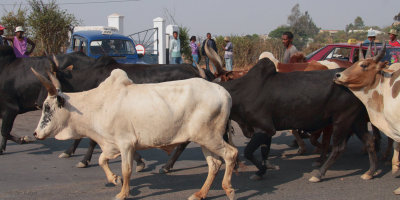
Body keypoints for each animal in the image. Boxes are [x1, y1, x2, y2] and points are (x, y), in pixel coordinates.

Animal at [32, 68, 238, 199]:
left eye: (47, 107)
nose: (35, 133)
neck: (97, 105)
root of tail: (223, 92)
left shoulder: (126, 144)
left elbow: (127, 169)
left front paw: (123, 193)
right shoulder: (110, 144)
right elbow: (102, 160)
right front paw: (114, 179)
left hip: (209, 137)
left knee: (231, 154)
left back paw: (228, 189)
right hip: (204, 139)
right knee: (214, 164)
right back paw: (199, 194)